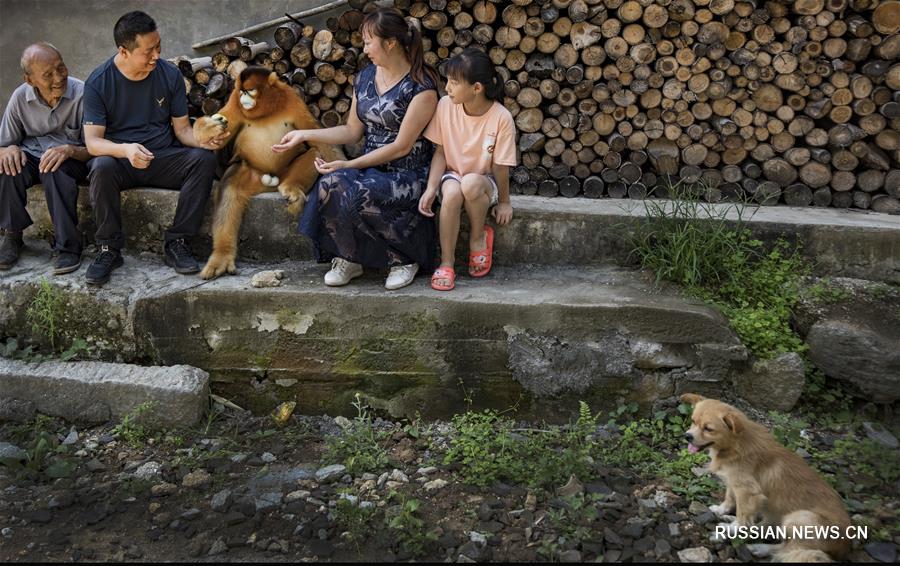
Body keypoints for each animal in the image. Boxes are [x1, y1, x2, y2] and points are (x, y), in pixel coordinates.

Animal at [684, 394, 852, 564]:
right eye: (693, 421)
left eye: (708, 429)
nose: (687, 436)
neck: (734, 445)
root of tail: (845, 546)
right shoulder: (733, 483)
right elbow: (730, 499)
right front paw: (721, 510)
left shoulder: (748, 492)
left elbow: (742, 516)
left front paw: (731, 529)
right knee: (763, 527)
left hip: (801, 517)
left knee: (786, 549)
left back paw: (759, 547)